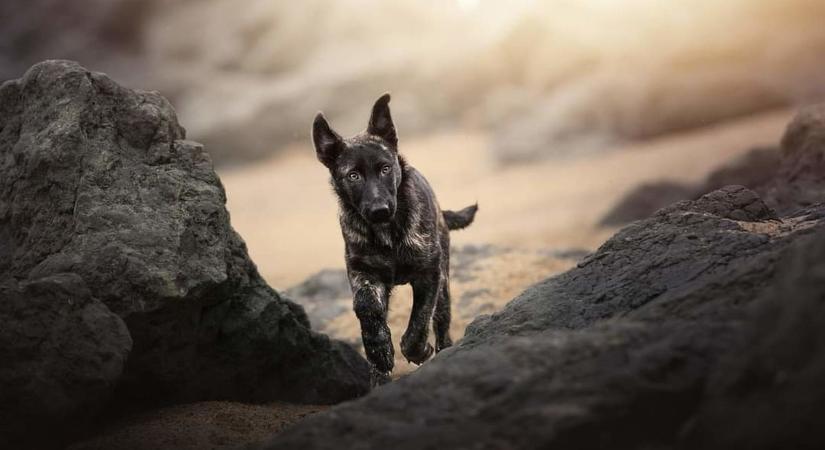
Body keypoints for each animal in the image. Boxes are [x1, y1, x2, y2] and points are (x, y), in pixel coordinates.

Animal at [310, 95, 476, 384]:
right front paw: (379, 352)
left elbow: (420, 319)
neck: (387, 233)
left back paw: (443, 350)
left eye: (386, 169)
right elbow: (367, 309)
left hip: (444, 281)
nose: (380, 210)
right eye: (353, 175)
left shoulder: (429, 273)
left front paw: (419, 350)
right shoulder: (362, 273)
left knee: (441, 321)